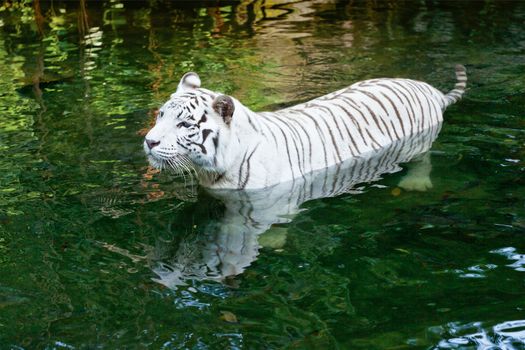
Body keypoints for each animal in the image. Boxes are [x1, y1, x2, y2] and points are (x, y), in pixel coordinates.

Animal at [143, 63, 466, 189]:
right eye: (161, 116)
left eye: (184, 124)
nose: (149, 141)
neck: (213, 171)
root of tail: (430, 90)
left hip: (420, 146)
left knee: (423, 160)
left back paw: (416, 183)